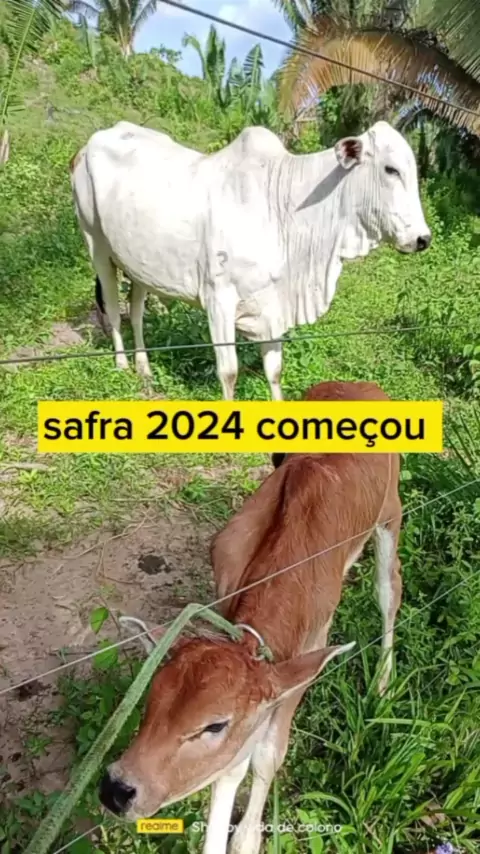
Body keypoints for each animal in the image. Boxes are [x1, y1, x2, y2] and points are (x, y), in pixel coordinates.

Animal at [70, 121, 430, 399]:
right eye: (391, 169)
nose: (422, 239)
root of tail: (87, 145)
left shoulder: (273, 305)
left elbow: (274, 370)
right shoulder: (218, 299)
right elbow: (228, 371)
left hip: (138, 264)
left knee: (136, 310)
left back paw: (144, 367)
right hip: (95, 244)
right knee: (113, 309)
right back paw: (121, 364)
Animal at [98, 380, 403, 854]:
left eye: (214, 724)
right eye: (151, 697)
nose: (116, 788)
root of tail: (358, 384)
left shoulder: (309, 650)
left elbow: (266, 754)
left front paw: (246, 837)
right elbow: (231, 766)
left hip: (391, 513)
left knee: (388, 592)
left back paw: (384, 685)